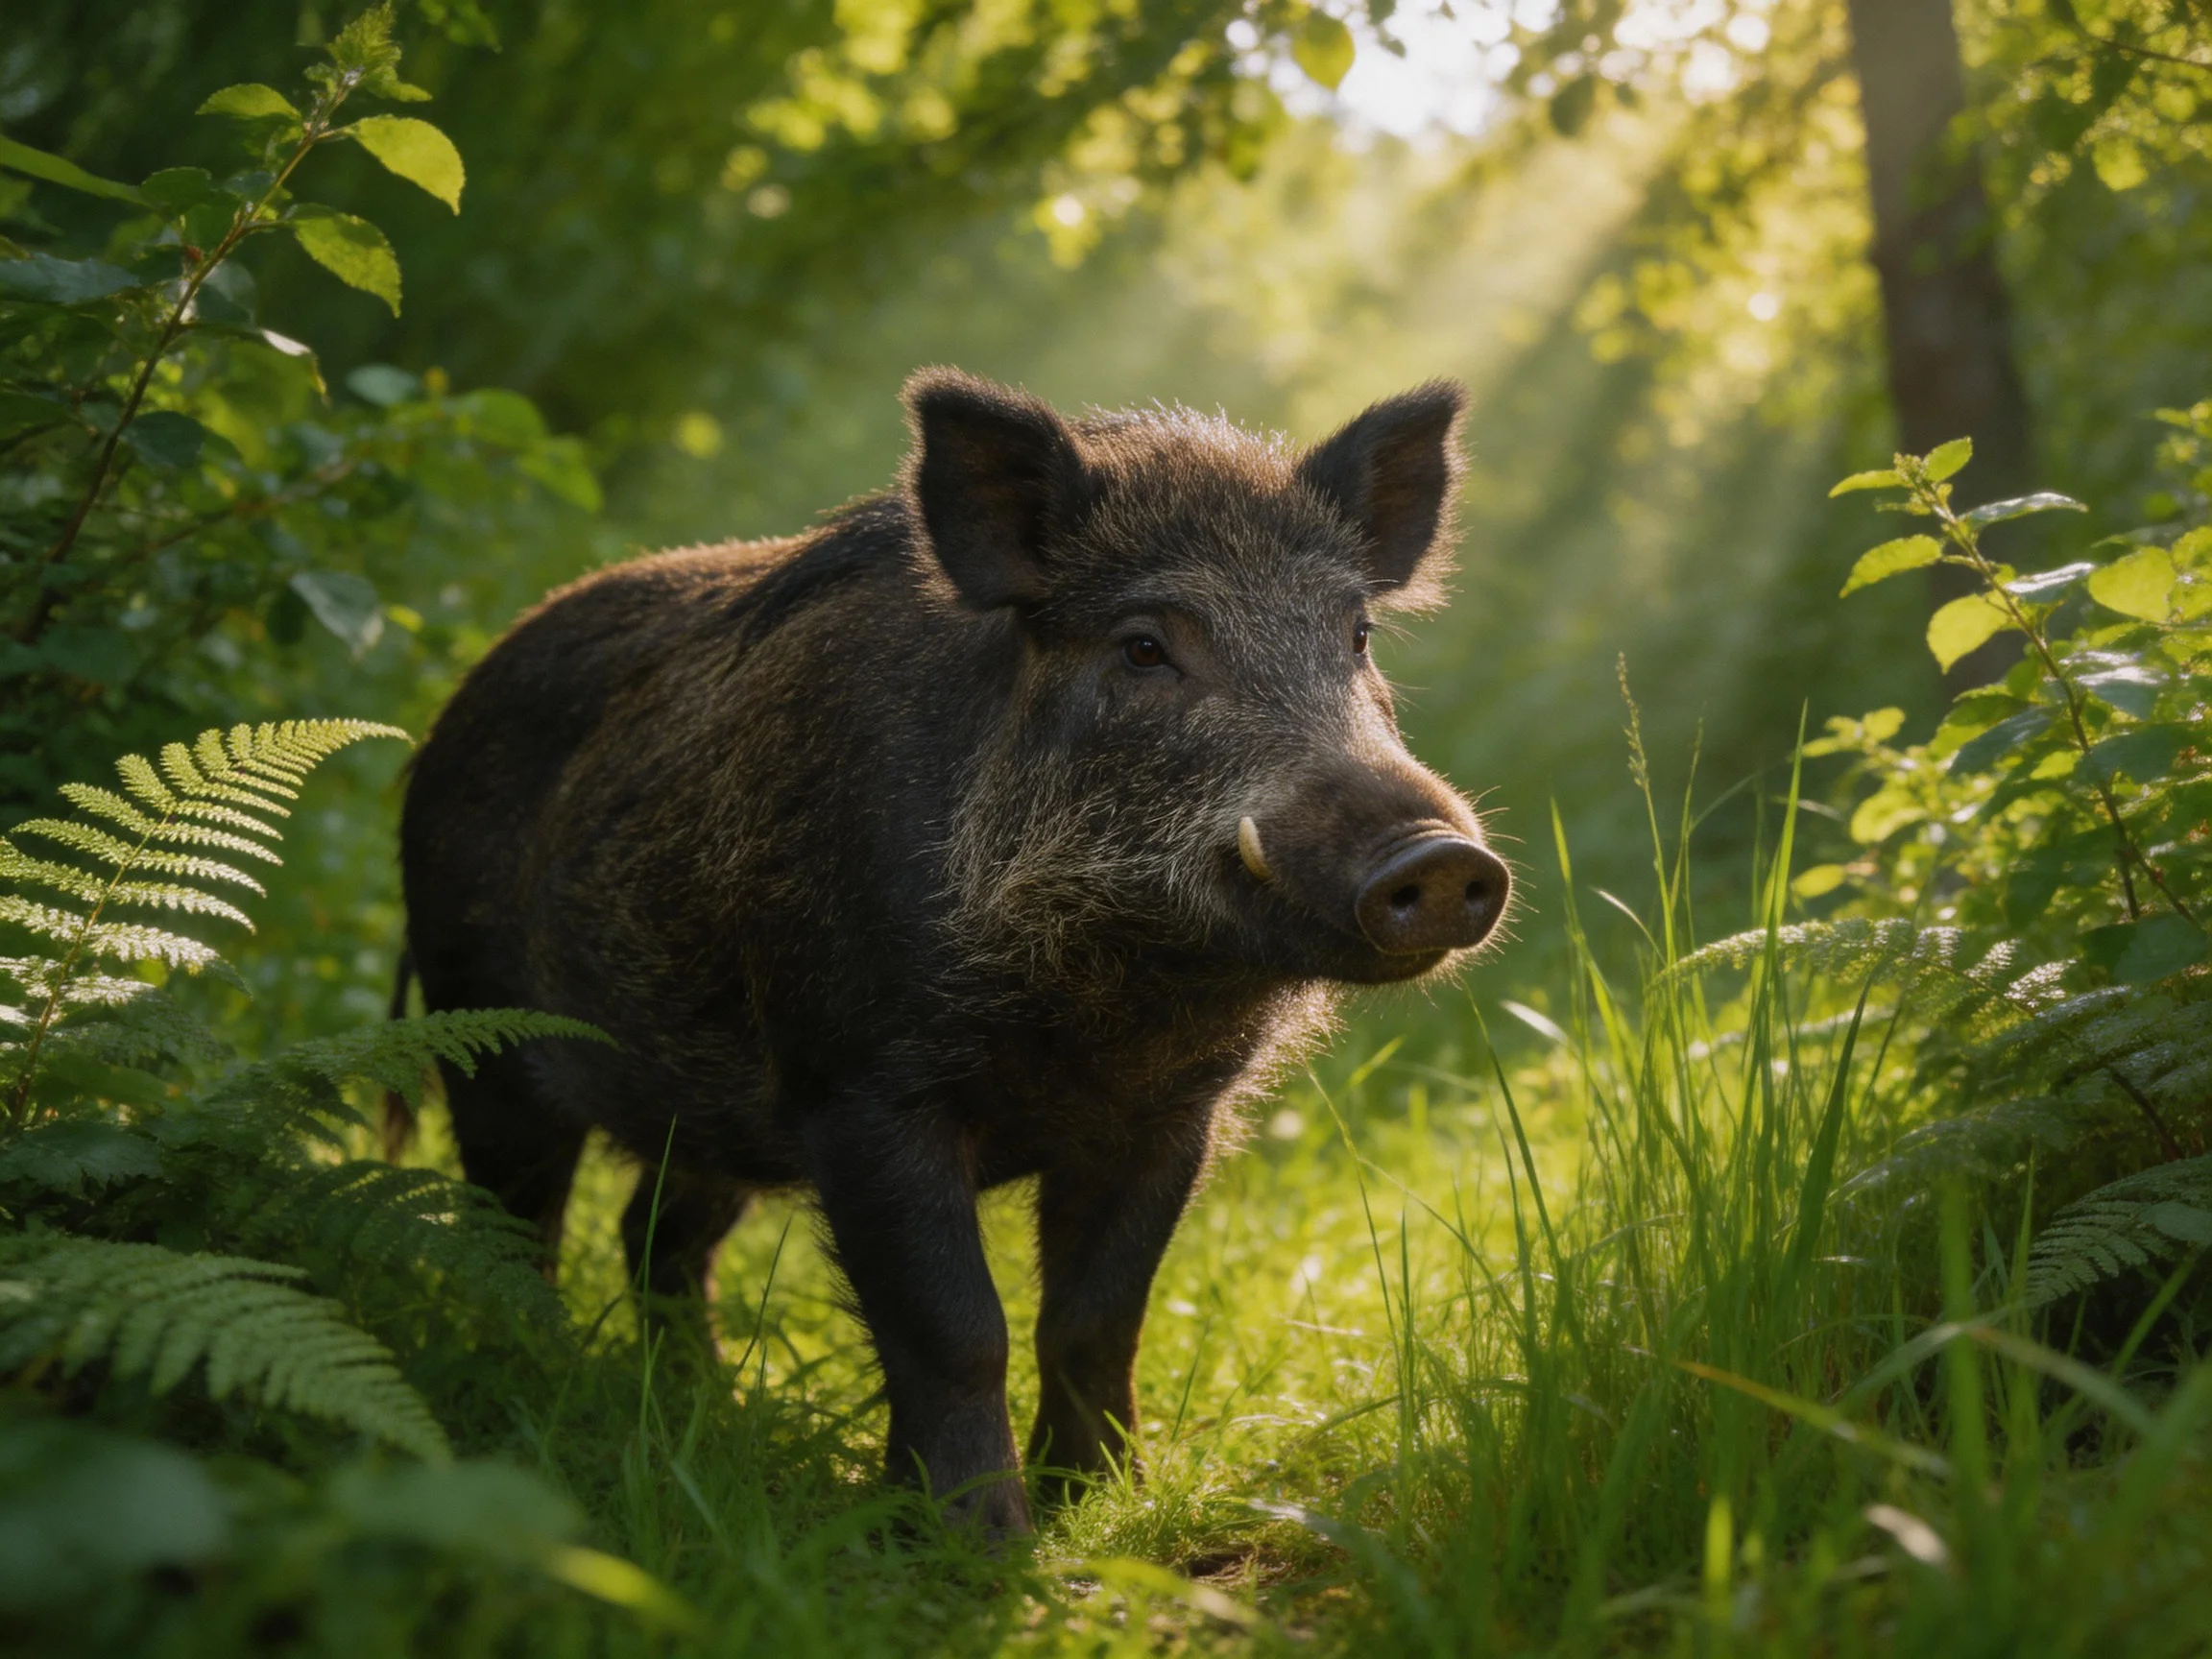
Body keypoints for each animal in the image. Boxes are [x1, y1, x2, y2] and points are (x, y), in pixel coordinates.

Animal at [397, 369, 1509, 1532]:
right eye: (1143, 646)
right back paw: (542, 1380)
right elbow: (957, 1328)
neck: (1108, 1006)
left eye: (1358, 636)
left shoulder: (1172, 1118)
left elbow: (1098, 1320)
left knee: (654, 1237)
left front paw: (1104, 1506)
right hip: (481, 1037)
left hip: (707, 1114)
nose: (1437, 857)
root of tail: (438, 726)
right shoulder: (859, 1088)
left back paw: (708, 1401)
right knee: (515, 1228)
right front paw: (982, 1540)